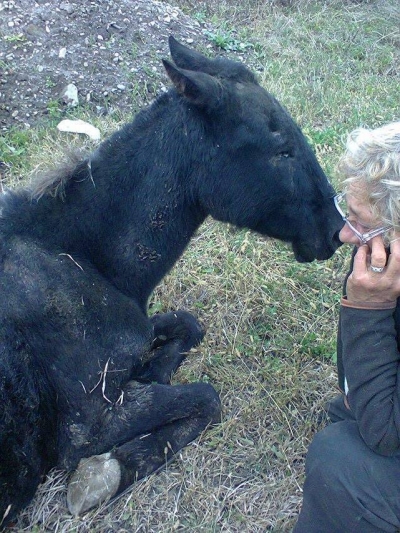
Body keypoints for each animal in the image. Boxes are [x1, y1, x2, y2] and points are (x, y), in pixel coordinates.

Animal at [0, 36, 344, 524]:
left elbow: (188, 327)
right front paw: (108, 472)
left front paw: (153, 369)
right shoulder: (87, 425)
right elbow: (206, 397)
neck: (95, 264)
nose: (335, 228)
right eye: (281, 150)